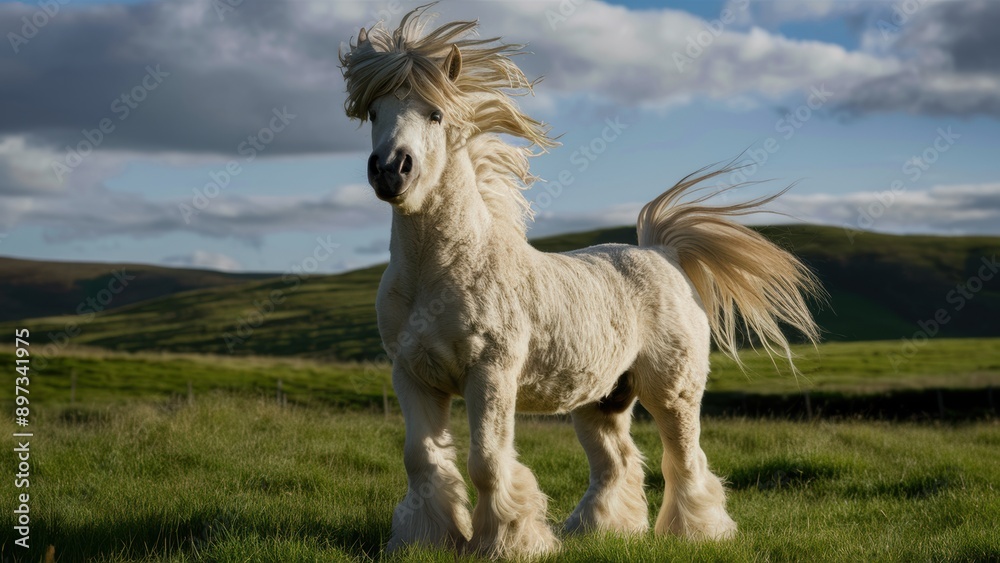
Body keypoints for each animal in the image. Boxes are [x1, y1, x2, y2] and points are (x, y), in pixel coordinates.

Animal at [340, 7, 820, 559]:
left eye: (436, 114)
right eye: (374, 112)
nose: (390, 170)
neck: (439, 273)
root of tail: (662, 253)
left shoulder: (491, 374)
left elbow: (487, 463)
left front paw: (511, 542)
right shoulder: (413, 376)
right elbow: (422, 461)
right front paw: (429, 541)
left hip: (673, 393)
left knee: (686, 462)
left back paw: (696, 533)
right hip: (602, 400)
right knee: (618, 461)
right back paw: (599, 531)